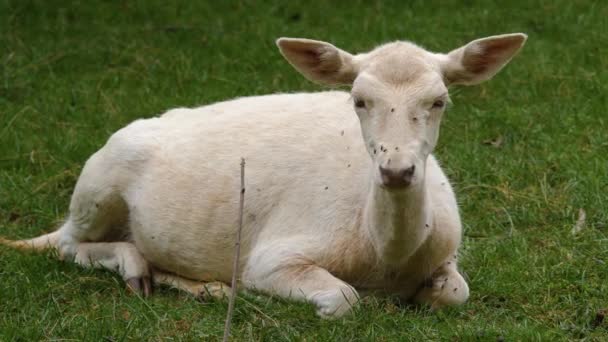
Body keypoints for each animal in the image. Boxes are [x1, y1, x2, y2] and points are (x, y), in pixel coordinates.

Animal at [0, 32, 524, 318]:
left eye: (439, 101)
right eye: (359, 99)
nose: (397, 170)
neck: (386, 256)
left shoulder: (449, 250)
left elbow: (456, 292)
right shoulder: (274, 254)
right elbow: (344, 299)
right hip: (97, 184)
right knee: (69, 244)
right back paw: (147, 272)